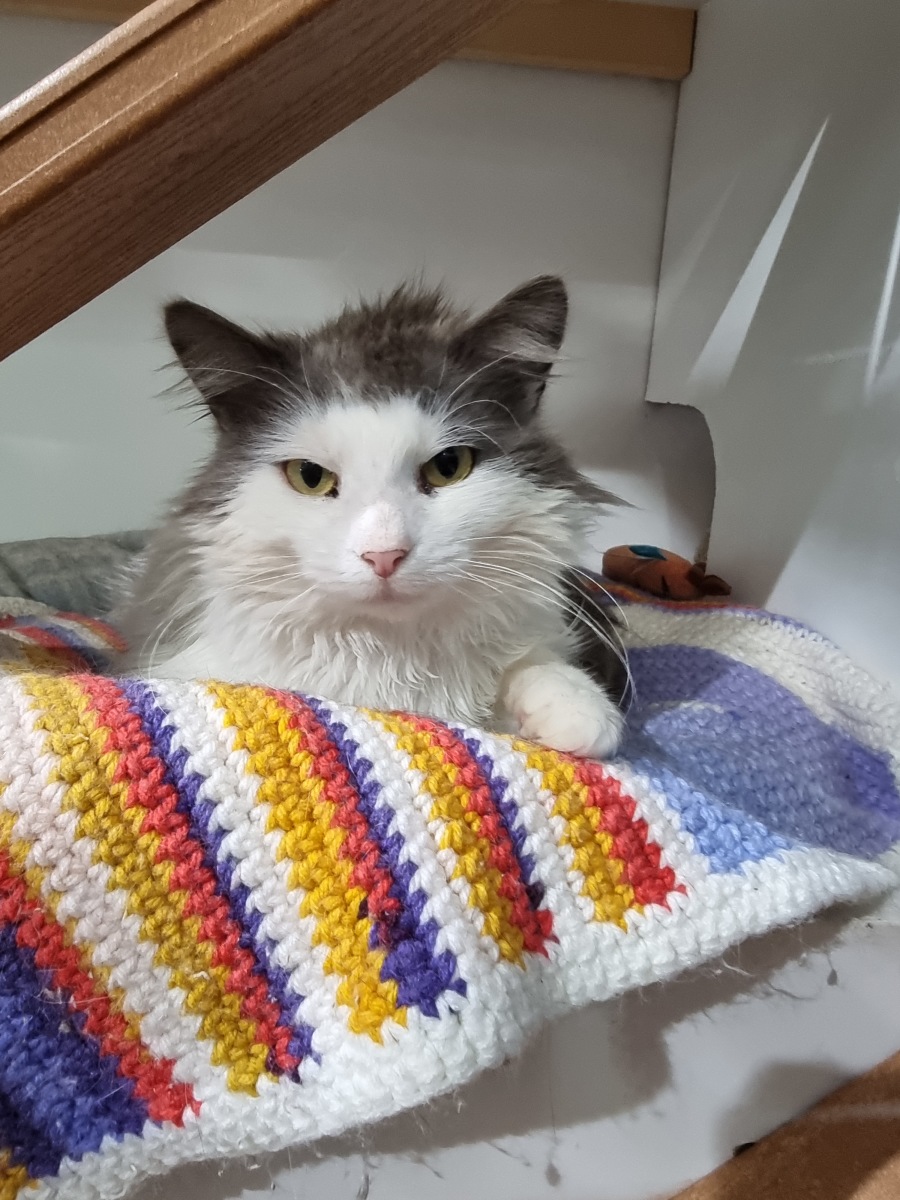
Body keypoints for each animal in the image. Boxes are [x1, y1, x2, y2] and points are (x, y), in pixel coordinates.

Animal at [114, 275, 628, 757]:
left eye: (449, 466)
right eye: (309, 477)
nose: (384, 555)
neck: (390, 664)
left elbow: (536, 666)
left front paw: (574, 711)